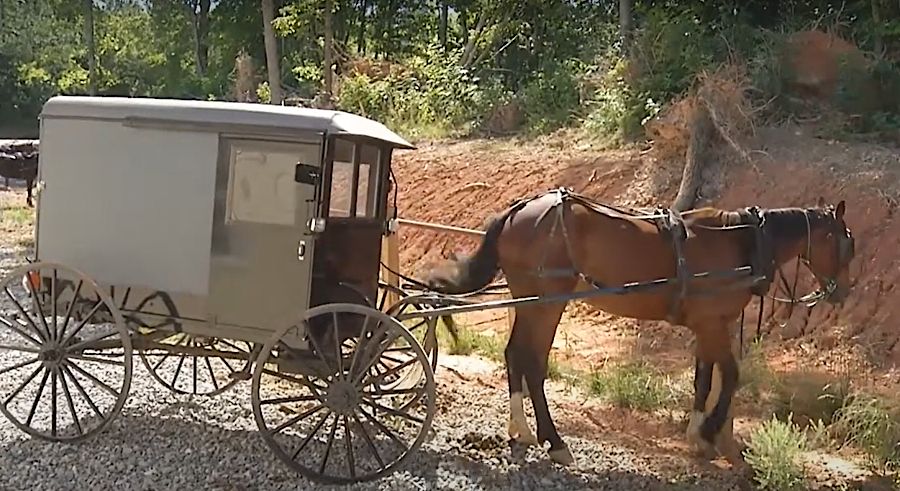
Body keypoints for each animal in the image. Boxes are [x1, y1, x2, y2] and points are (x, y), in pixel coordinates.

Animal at [426, 189, 856, 472]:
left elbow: (703, 378)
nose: (843, 292)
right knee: (533, 364)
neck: (740, 244)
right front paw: (710, 431)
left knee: (514, 354)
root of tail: (520, 210)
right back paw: (555, 442)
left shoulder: (706, 324)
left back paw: (521, 429)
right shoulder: (712, 324)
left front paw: (696, 433)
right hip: (549, 301)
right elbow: (731, 376)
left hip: (528, 299)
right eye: (847, 244)